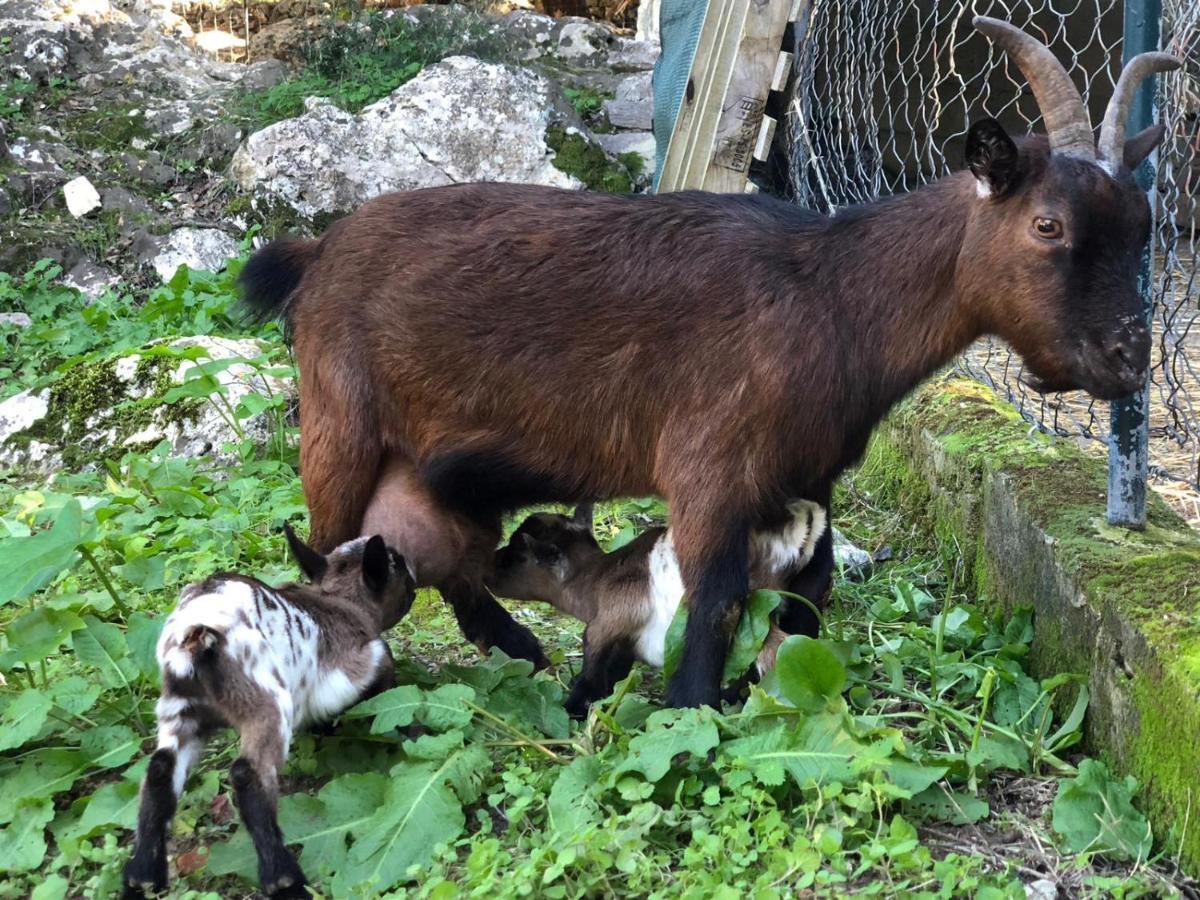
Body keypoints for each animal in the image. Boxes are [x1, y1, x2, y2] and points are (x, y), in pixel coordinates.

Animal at [241, 19, 1180, 710]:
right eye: (1048, 225)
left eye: (1141, 223)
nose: (1128, 358)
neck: (830, 295)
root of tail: (317, 251)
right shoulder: (711, 472)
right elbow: (716, 598)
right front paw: (690, 710)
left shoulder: (811, 477)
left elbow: (808, 594)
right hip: (339, 429)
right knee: (327, 564)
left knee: (447, 562)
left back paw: (520, 650)